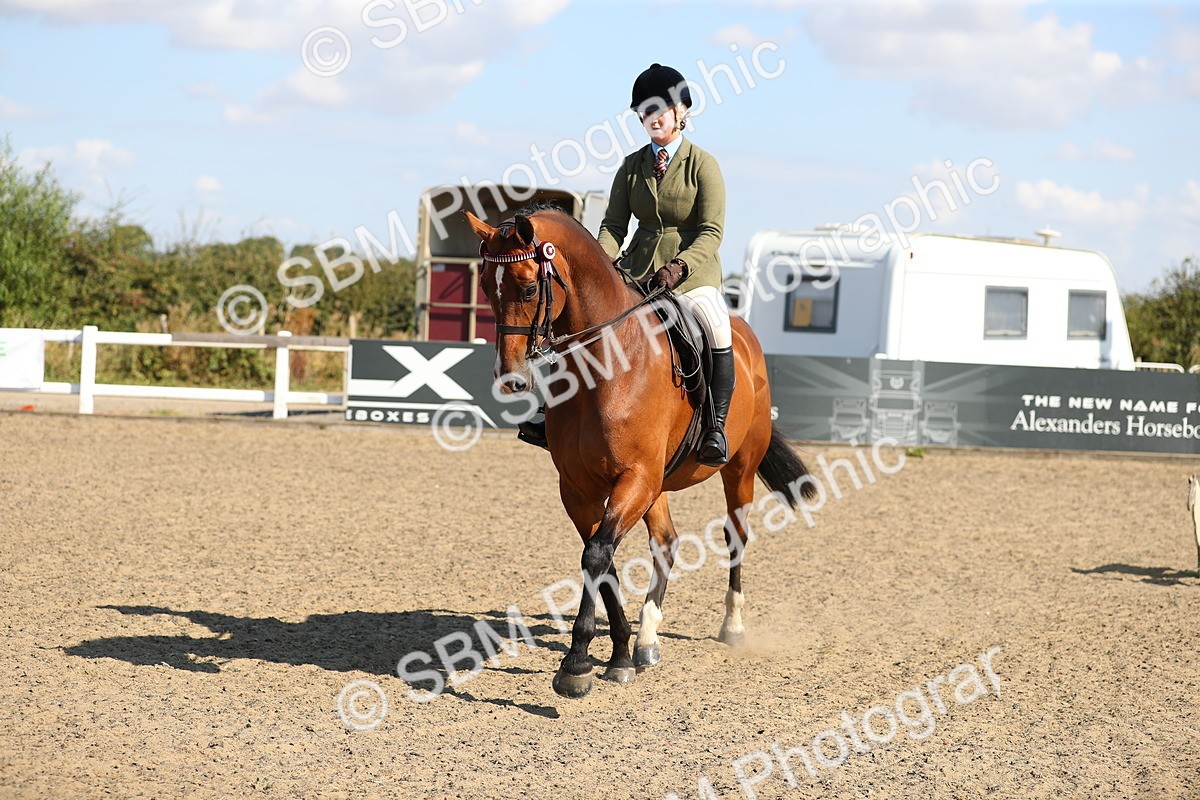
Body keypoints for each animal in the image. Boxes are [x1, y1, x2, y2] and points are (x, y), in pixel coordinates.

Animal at [466, 206, 818, 699]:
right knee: (666, 542)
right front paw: (618, 655)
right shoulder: (579, 488)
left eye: (530, 288)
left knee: (735, 536)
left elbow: (597, 555)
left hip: (737, 470)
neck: (605, 366)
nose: (510, 379)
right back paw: (647, 640)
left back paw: (732, 626)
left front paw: (576, 664)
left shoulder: (635, 477)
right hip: (660, 483)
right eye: (485, 287)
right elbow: (603, 560)